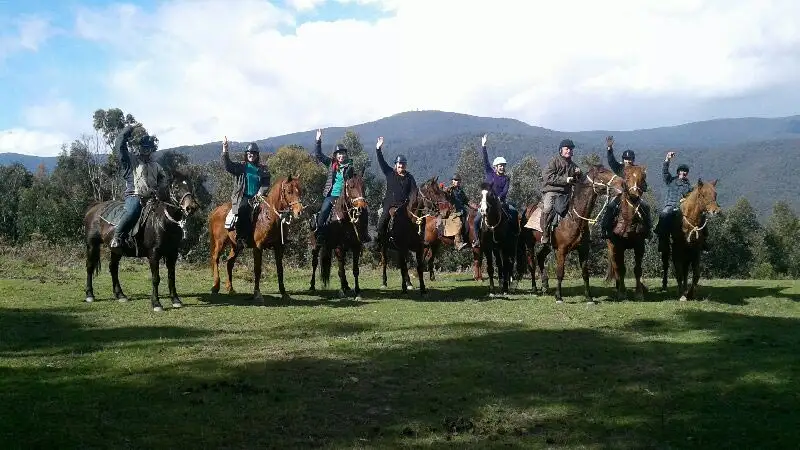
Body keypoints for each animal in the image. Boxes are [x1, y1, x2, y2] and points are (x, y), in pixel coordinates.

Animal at [83, 171, 202, 312]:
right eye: (177, 187)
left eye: (190, 185)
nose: (191, 207)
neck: (163, 220)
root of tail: (94, 207)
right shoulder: (154, 254)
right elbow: (156, 278)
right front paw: (156, 303)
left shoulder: (172, 254)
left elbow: (171, 277)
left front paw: (176, 300)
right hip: (92, 244)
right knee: (90, 267)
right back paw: (90, 295)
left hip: (116, 250)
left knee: (113, 268)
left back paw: (120, 295)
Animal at [310, 169, 368, 298]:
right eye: (351, 186)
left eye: (364, 186)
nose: (361, 208)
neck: (345, 219)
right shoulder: (339, 248)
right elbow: (341, 270)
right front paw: (342, 291)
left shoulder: (356, 247)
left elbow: (355, 270)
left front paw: (357, 291)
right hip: (316, 245)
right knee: (315, 263)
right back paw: (312, 286)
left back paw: (346, 285)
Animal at [516, 163, 628, 304]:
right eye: (602, 172)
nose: (622, 183)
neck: (573, 218)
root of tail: (526, 210)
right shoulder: (561, 250)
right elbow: (560, 273)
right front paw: (559, 297)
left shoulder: (583, 250)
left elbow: (585, 274)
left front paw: (589, 297)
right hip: (529, 243)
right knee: (532, 263)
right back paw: (535, 289)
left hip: (548, 245)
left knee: (540, 257)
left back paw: (545, 286)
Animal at [608, 163, 648, 300]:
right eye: (627, 177)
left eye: (643, 178)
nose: (634, 195)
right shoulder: (618, 246)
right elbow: (621, 269)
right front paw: (622, 292)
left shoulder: (640, 246)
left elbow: (638, 269)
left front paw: (639, 293)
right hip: (612, 247)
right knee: (616, 267)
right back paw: (618, 287)